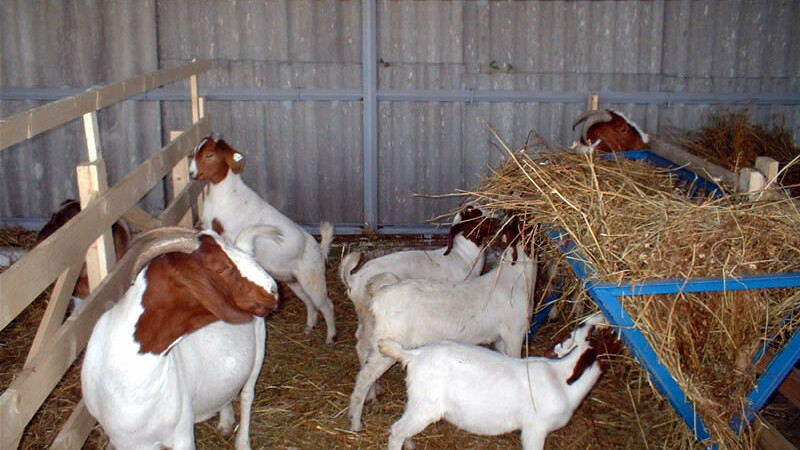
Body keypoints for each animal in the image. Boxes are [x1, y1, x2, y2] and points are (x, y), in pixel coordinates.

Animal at [83, 227, 282, 450]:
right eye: (220, 268)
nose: (273, 289)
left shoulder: (182, 434)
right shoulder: (122, 442)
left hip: (259, 344)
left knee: (247, 395)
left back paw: (242, 443)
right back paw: (226, 421)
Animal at [191, 135, 338, 342]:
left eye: (209, 154)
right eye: (196, 152)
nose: (192, 174)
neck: (227, 196)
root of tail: (319, 249)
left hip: (313, 277)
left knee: (326, 304)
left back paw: (330, 337)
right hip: (294, 280)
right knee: (310, 303)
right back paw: (309, 327)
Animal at [350, 237, 536, 430]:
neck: (513, 278)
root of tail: (381, 293)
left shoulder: (501, 339)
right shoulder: (514, 334)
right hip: (388, 342)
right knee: (364, 376)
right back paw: (356, 423)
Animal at [378, 312, 620, 450]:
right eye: (604, 334)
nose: (606, 316)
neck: (562, 378)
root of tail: (414, 355)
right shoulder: (535, 429)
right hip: (426, 405)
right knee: (397, 430)